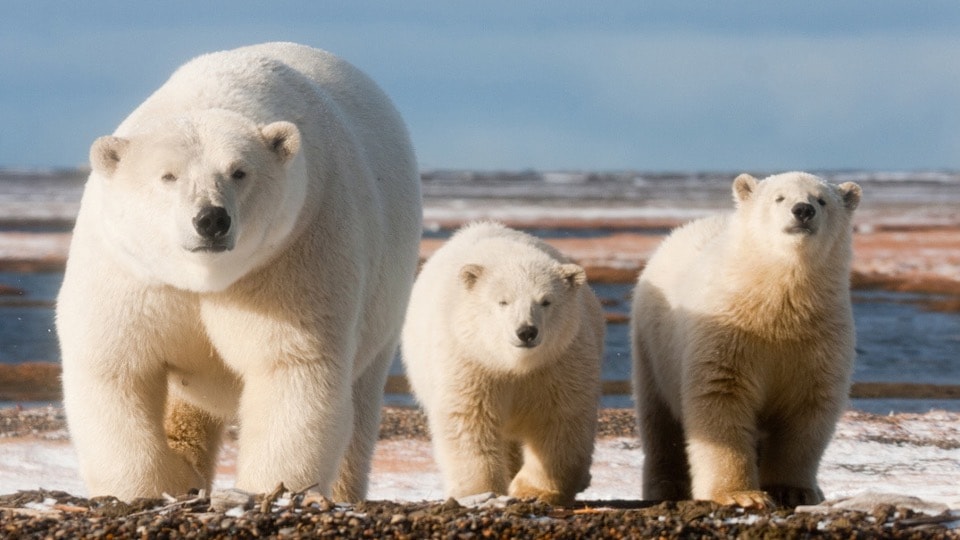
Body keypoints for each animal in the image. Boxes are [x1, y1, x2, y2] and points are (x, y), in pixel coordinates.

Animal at [56, 42, 422, 502]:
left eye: (239, 172)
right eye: (168, 176)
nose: (211, 219)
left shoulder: (293, 251)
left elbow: (290, 367)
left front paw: (270, 489)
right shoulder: (132, 270)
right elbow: (115, 366)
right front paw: (152, 488)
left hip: (385, 301)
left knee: (360, 401)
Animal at [401, 222, 606, 505]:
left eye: (545, 301)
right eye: (503, 301)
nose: (526, 331)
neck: (513, 364)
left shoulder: (560, 362)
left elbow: (560, 419)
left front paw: (534, 490)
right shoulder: (470, 360)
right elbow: (469, 421)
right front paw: (480, 493)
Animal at [630, 171, 862, 508]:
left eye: (821, 200)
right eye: (779, 197)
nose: (803, 210)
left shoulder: (820, 339)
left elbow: (808, 409)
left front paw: (794, 489)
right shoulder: (728, 333)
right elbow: (722, 398)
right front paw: (742, 495)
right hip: (651, 344)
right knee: (658, 420)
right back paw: (665, 486)